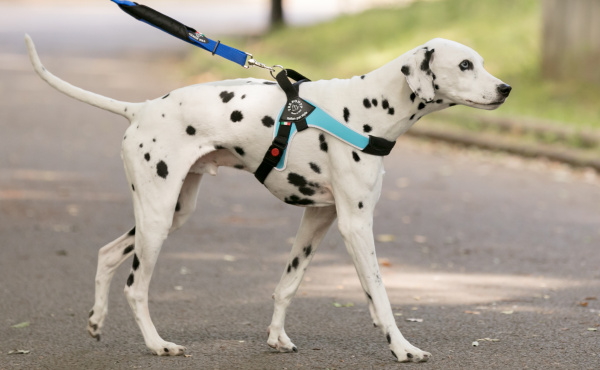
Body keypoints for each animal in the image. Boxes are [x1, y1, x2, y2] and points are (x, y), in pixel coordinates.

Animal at [24, 33, 510, 362]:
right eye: (465, 65)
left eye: (481, 62)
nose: (507, 88)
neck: (368, 108)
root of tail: (140, 108)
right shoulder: (356, 224)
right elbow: (379, 292)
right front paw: (402, 347)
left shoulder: (318, 218)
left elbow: (288, 283)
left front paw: (277, 337)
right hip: (158, 218)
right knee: (135, 286)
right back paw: (158, 344)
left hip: (171, 212)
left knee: (107, 254)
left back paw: (95, 321)